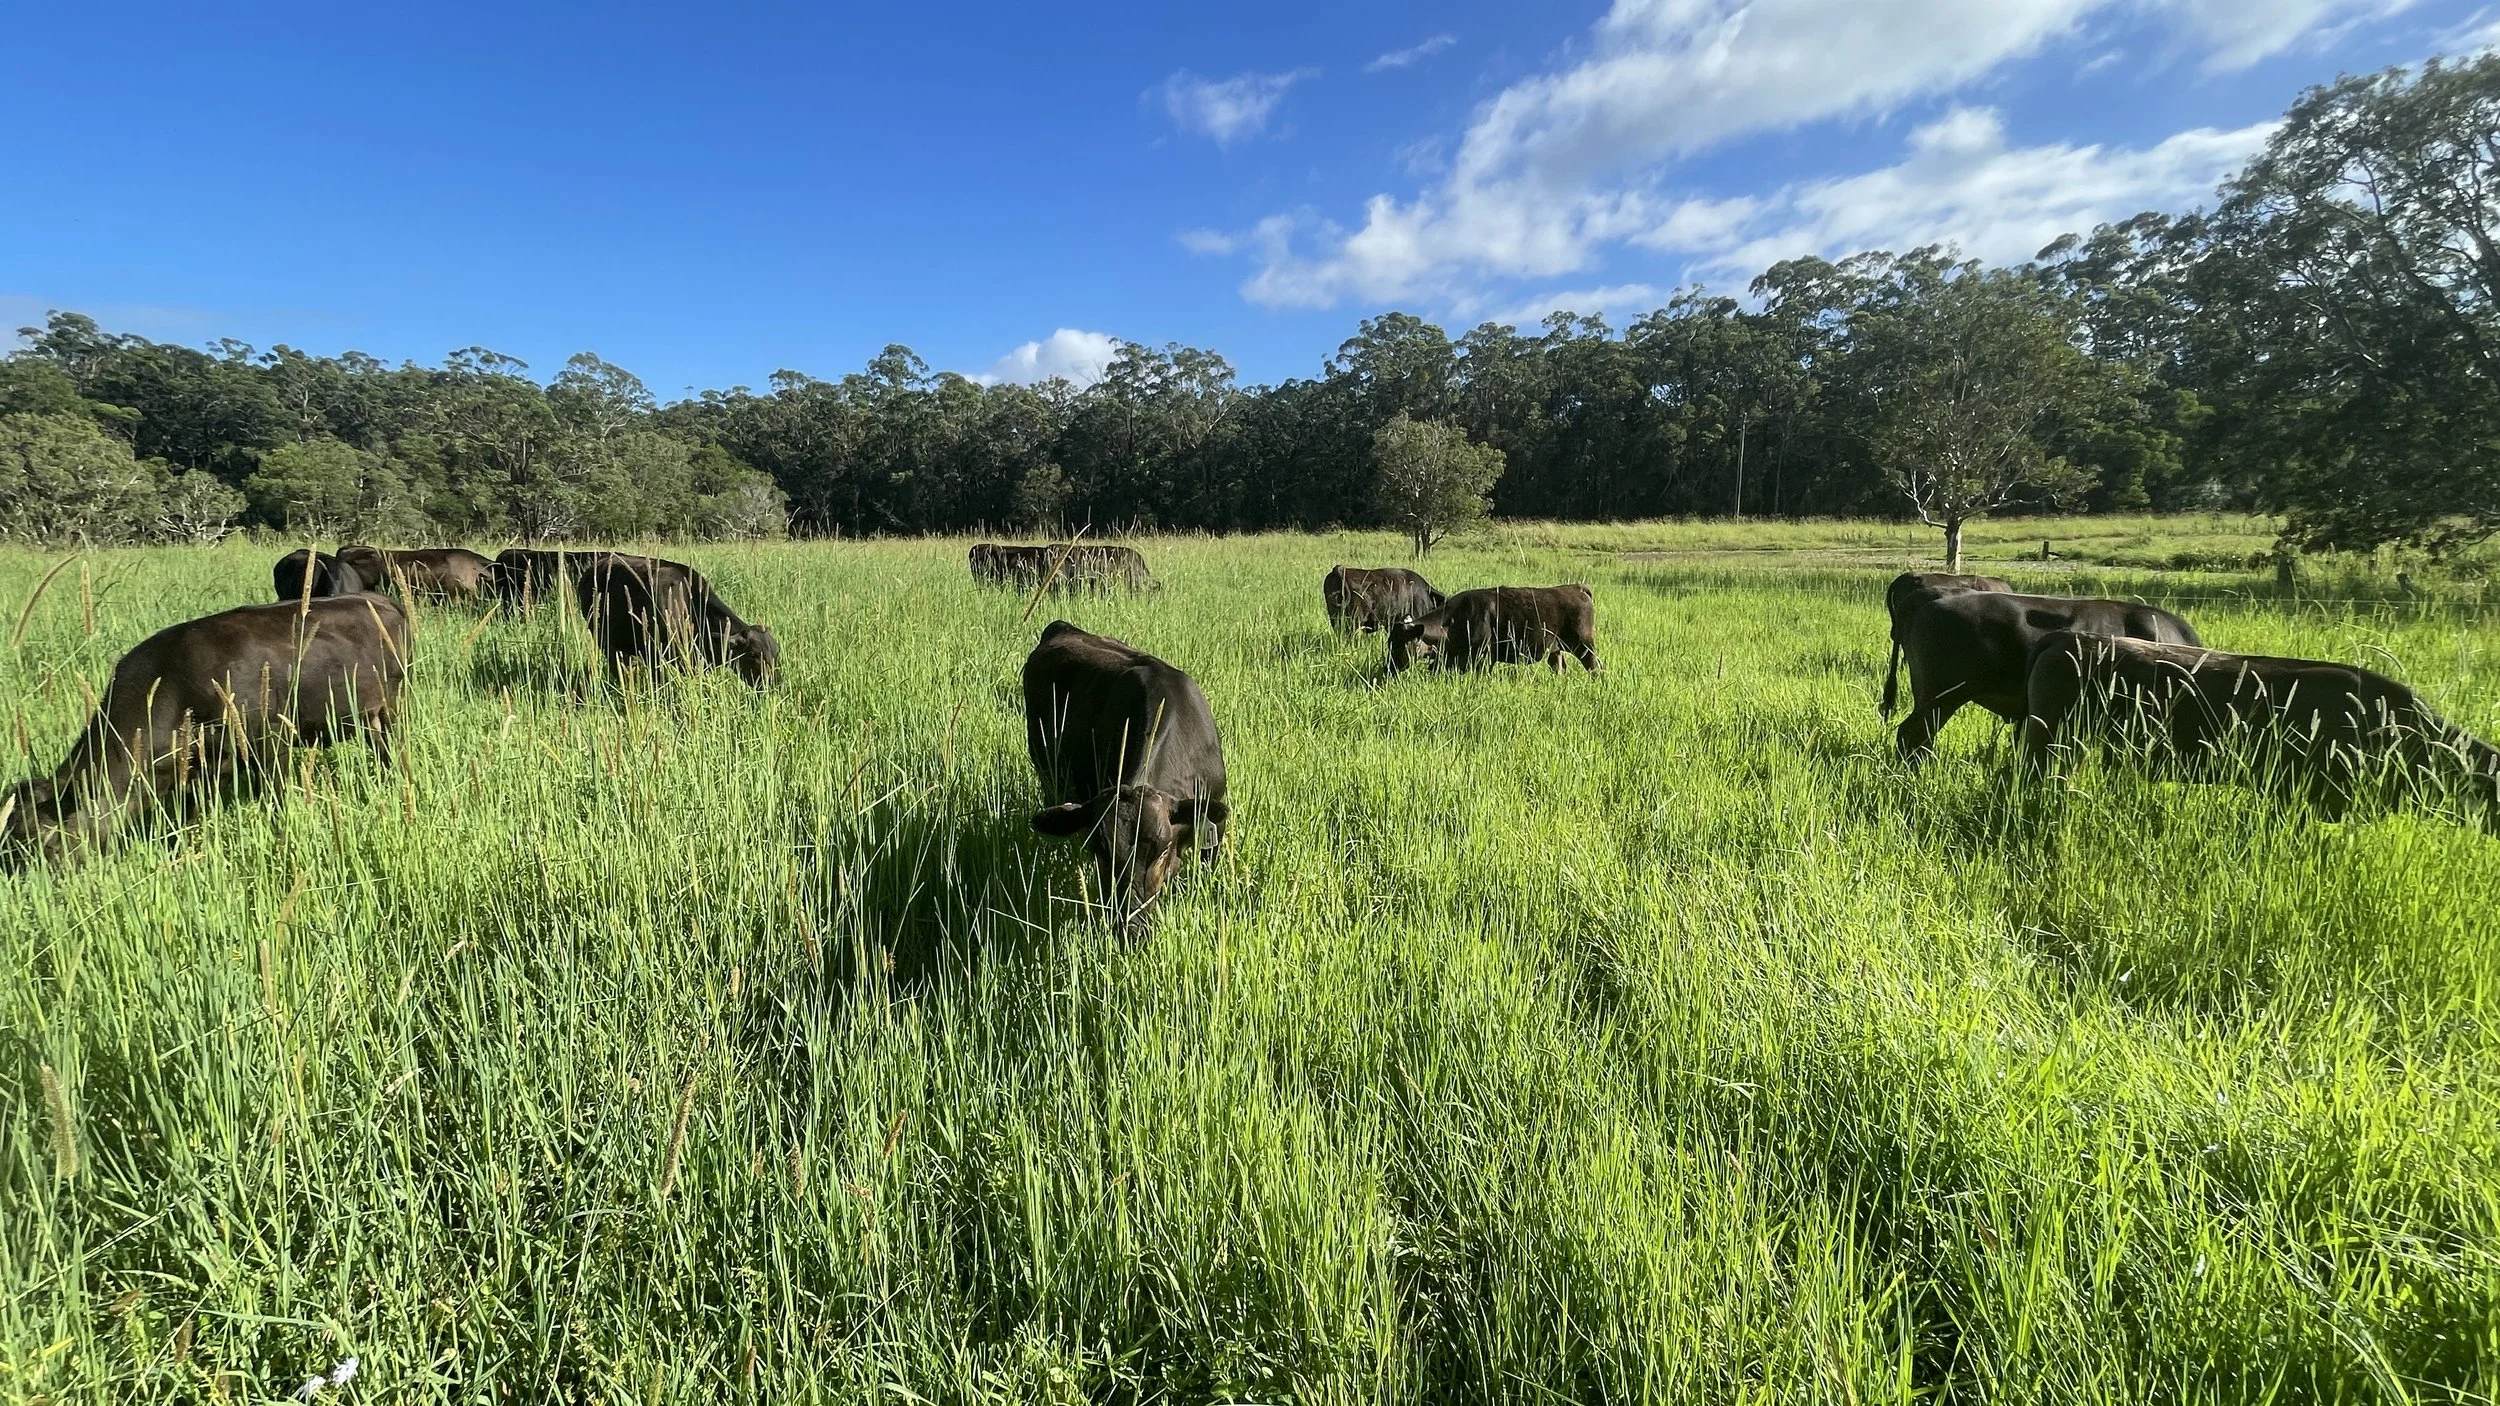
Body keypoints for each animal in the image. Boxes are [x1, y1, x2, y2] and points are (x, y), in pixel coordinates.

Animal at [0, 594, 409, 861]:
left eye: (48, 843)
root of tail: (378, 598)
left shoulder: (269, 742)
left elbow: (277, 799)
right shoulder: (198, 770)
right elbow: (191, 822)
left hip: (389, 709)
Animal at [1387, 585, 1599, 676]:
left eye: (1400, 644)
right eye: (1390, 642)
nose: (1388, 669)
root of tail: (1576, 588)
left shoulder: (1483, 656)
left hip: (1584, 645)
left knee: (1596, 667)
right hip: (1556, 649)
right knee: (1560, 668)